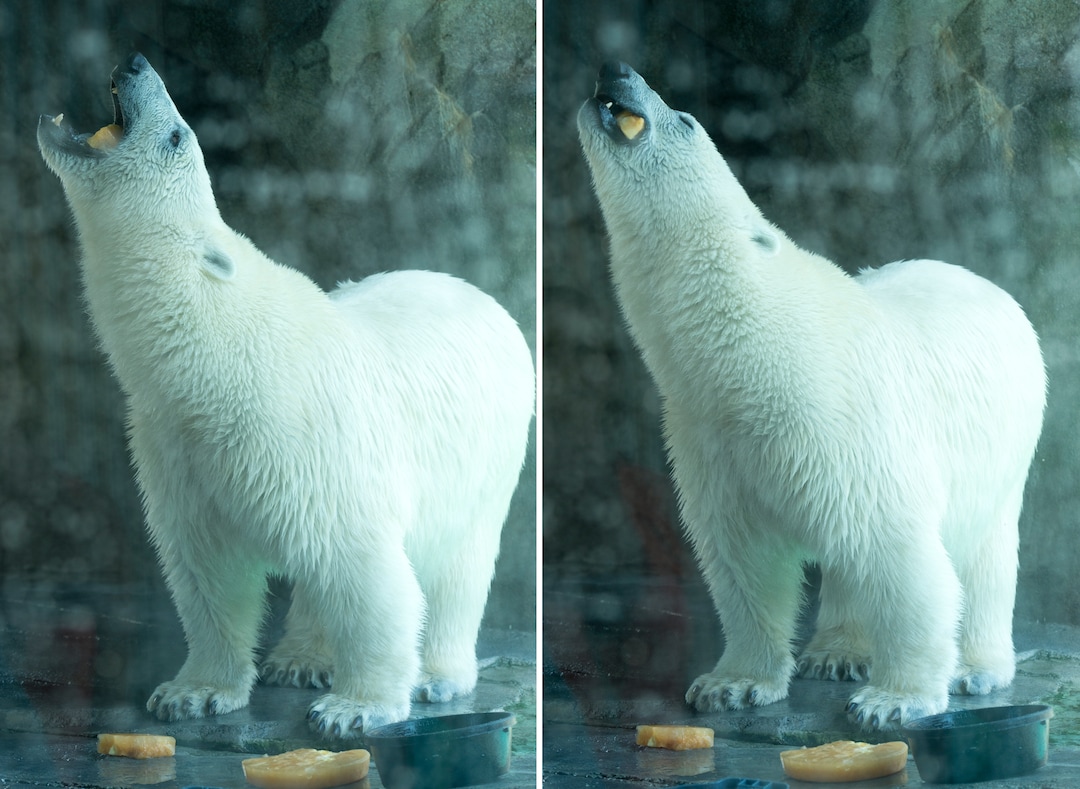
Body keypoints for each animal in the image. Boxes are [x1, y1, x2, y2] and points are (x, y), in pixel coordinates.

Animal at [37, 52, 534, 738]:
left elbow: (369, 571)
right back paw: (300, 658)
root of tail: (483, 295)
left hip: (485, 455)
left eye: (177, 137)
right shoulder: (178, 448)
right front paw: (192, 692)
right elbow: (207, 574)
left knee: (457, 564)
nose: (135, 63)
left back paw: (435, 675)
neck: (212, 362)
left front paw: (356, 708)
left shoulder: (309, 439)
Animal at [577, 62, 1045, 730]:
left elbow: (902, 555)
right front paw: (732, 684)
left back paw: (975, 667)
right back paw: (838, 651)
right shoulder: (710, 436)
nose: (616, 70)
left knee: (981, 553)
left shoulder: (841, 420)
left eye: (685, 119)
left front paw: (893, 700)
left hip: (1001, 446)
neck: (749, 355)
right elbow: (744, 563)